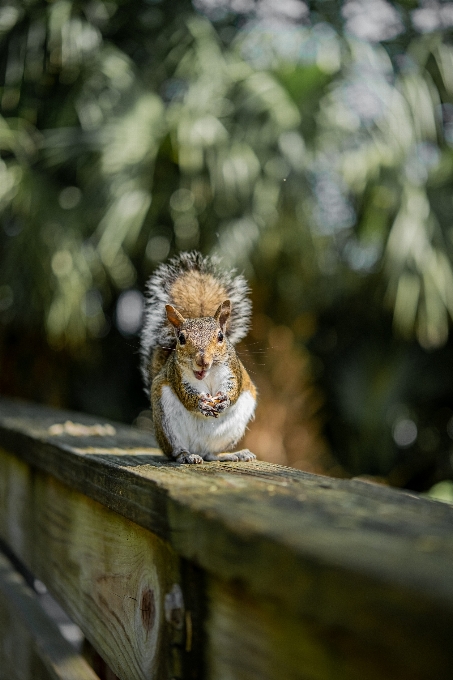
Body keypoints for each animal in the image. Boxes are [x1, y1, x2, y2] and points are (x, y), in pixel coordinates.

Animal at [139, 252, 256, 464]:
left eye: (220, 336)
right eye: (181, 339)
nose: (203, 361)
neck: (207, 374)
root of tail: (199, 447)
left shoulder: (233, 369)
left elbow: (234, 388)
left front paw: (225, 399)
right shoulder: (177, 374)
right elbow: (186, 395)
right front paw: (200, 402)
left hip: (232, 427)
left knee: (212, 454)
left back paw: (234, 454)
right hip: (167, 425)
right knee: (178, 451)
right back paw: (187, 456)